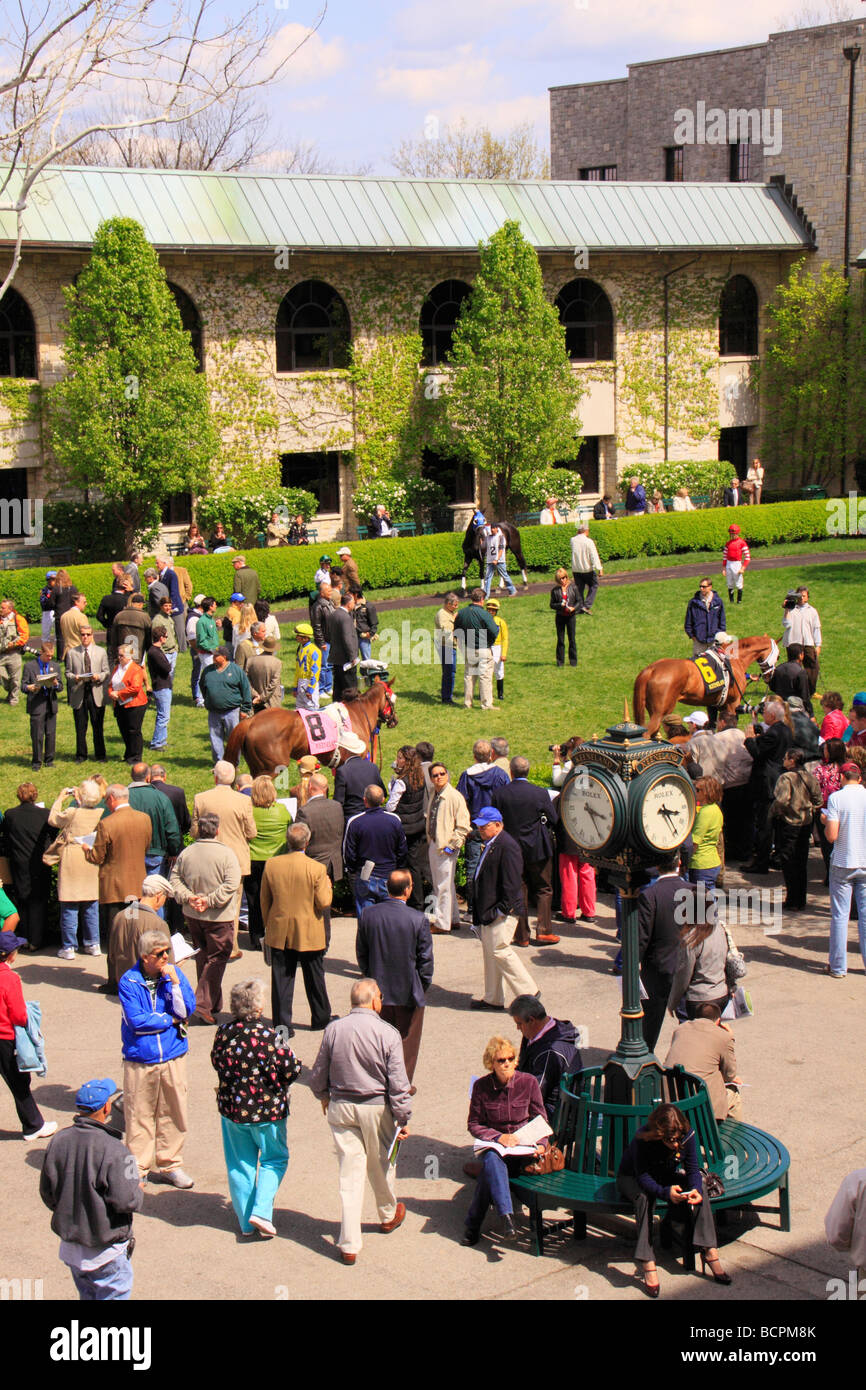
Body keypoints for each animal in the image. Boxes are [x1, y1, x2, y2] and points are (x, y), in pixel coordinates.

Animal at [223, 683, 400, 783]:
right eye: (393, 699)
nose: (395, 721)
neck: (356, 715)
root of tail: (251, 721)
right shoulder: (357, 758)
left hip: (256, 767)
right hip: (270, 768)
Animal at [631, 636, 778, 739]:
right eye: (778, 656)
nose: (770, 676)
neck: (734, 659)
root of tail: (651, 669)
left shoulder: (714, 704)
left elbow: (712, 727)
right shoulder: (733, 702)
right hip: (660, 712)